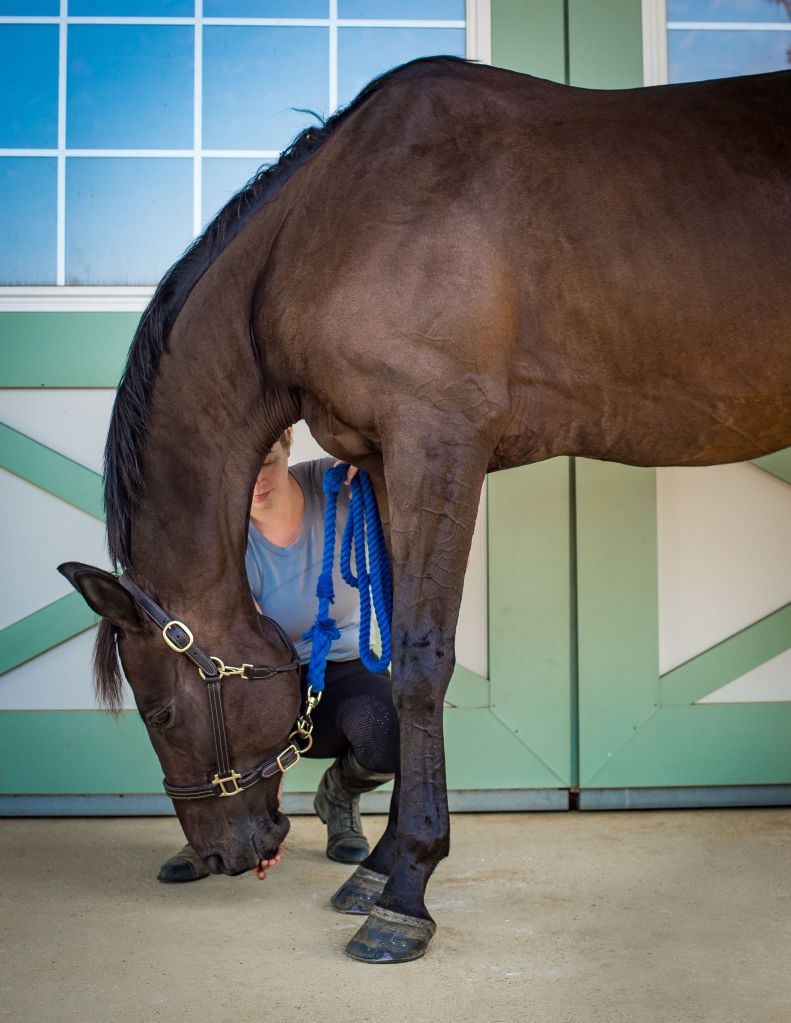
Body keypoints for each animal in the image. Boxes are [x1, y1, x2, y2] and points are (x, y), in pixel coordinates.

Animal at [59, 56, 791, 963]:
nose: (222, 853)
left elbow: (418, 662)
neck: (321, 232)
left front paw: (405, 891)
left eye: (159, 710)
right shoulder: (382, 460)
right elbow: (402, 657)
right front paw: (375, 868)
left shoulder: (438, 442)